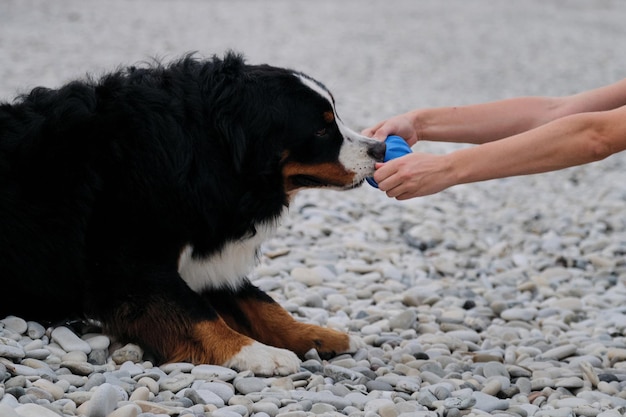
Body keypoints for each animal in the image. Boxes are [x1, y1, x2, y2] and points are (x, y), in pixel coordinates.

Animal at [0, 51, 386, 374]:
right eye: (321, 129)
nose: (379, 148)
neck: (202, 150)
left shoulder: (203, 254)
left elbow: (263, 304)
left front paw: (320, 335)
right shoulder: (128, 269)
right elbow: (198, 315)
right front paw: (258, 353)